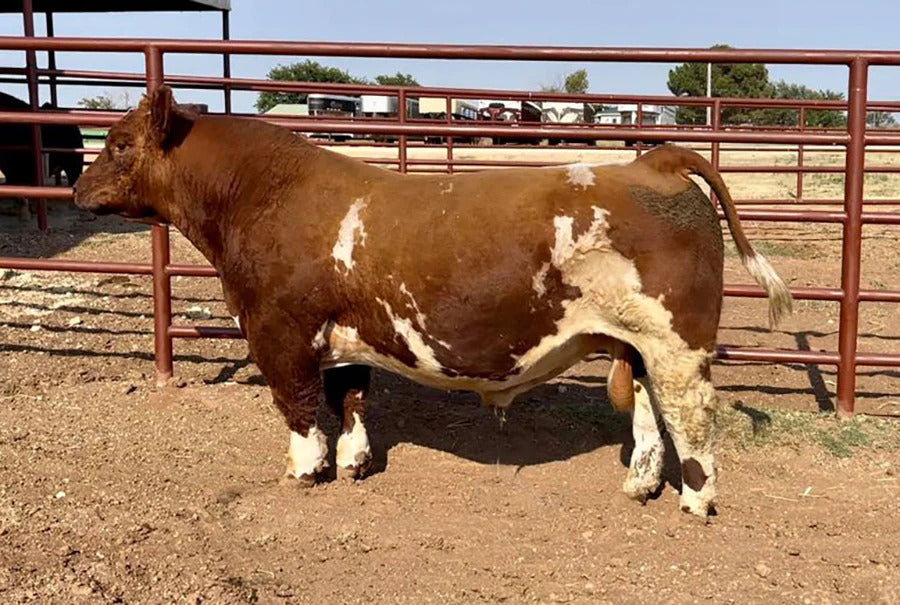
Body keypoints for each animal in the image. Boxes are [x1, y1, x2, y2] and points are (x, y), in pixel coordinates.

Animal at [74, 86, 792, 517]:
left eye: (118, 144)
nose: (78, 187)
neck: (262, 193)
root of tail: (652, 161)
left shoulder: (279, 331)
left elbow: (299, 409)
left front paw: (304, 473)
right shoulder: (345, 337)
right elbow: (351, 399)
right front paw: (355, 463)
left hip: (677, 340)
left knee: (692, 415)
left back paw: (695, 503)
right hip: (637, 341)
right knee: (649, 410)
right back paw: (640, 484)